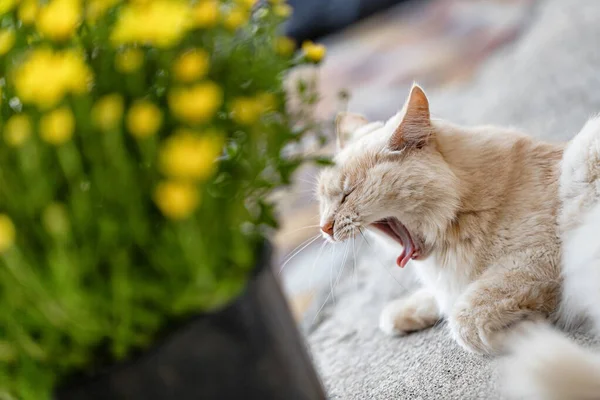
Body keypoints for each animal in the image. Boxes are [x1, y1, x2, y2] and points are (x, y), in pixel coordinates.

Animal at [316, 84, 564, 356]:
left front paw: (531, 330)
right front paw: (405, 311)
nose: (324, 228)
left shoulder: (540, 256)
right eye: (323, 200)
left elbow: (466, 317)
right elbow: (442, 298)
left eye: (347, 194)